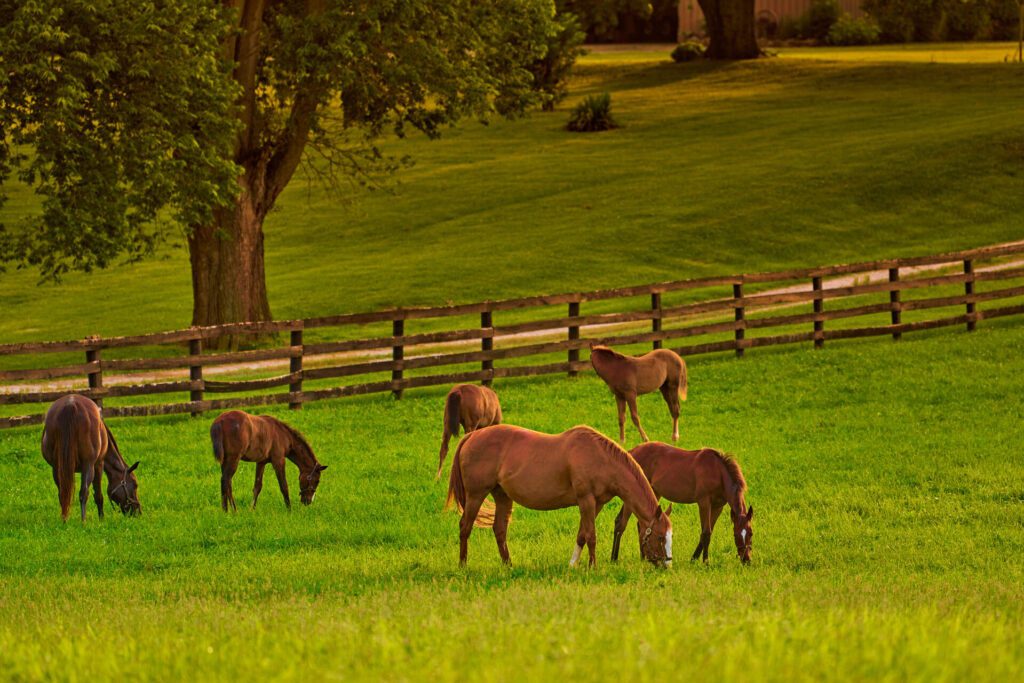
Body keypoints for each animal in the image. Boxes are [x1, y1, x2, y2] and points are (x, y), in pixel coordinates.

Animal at [40, 395, 141, 524]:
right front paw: (101, 518)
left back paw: (64, 520)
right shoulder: (98, 465)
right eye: (135, 484)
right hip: (88, 466)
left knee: (63, 494)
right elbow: (98, 495)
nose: (138, 512)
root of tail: (70, 405)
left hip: (57, 467)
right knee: (84, 493)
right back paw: (83, 522)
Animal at [442, 423, 671, 569]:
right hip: (475, 496)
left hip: (502, 496)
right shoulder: (586, 500)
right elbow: (591, 536)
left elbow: (581, 535)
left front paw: (573, 564)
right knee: (465, 527)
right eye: (661, 537)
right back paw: (463, 565)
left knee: (499, 529)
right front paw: (593, 566)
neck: (600, 457)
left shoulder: (595, 504)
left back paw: (508, 565)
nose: (666, 565)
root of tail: (472, 436)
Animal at [606, 444, 753, 565]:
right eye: (736, 535)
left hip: (653, 492)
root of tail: (631, 452)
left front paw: (694, 559)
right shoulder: (704, 502)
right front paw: (705, 562)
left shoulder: (718, 507)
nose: (747, 560)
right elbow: (706, 533)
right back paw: (614, 558)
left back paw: (643, 557)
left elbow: (707, 532)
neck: (718, 472)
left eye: (751, 533)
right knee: (620, 522)